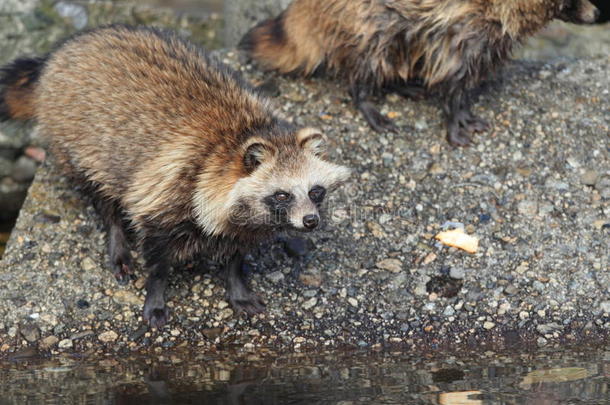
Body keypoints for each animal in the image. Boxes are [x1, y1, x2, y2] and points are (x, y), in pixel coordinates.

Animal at [0, 25, 350, 326]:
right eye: (282, 194)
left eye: (315, 191)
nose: (311, 221)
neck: (242, 137)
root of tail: (59, 54)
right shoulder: (168, 187)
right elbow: (157, 256)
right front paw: (155, 293)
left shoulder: (241, 219)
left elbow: (236, 252)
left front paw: (237, 283)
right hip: (76, 141)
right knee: (101, 193)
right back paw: (116, 236)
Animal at [240, 0, 596, 145]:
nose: (595, 15)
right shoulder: (465, 27)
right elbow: (453, 75)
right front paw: (454, 118)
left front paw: (463, 110)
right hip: (365, 19)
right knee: (370, 56)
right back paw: (366, 97)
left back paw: (400, 84)